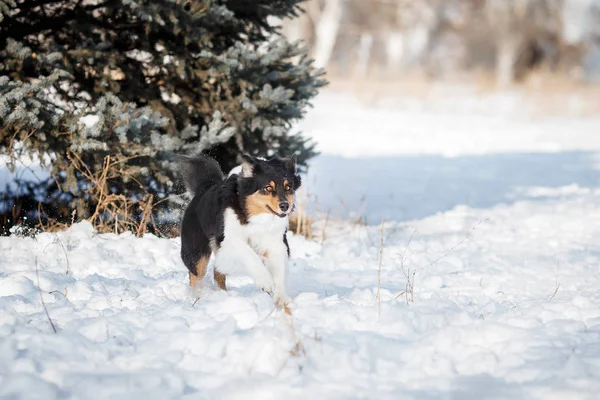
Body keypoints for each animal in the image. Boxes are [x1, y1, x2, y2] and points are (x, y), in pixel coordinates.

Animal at [178, 155, 300, 304]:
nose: (285, 206)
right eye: (268, 188)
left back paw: (222, 295)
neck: (256, 217)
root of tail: (203, 188)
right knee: (196, 275)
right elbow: (249, 254)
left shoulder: (276, 243)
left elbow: (280, 270)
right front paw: (266, 282)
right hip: (197, 251)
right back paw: (198, 297)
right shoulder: (230, 239)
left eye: (288, 187)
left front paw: (282, 299)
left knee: (217, 272)